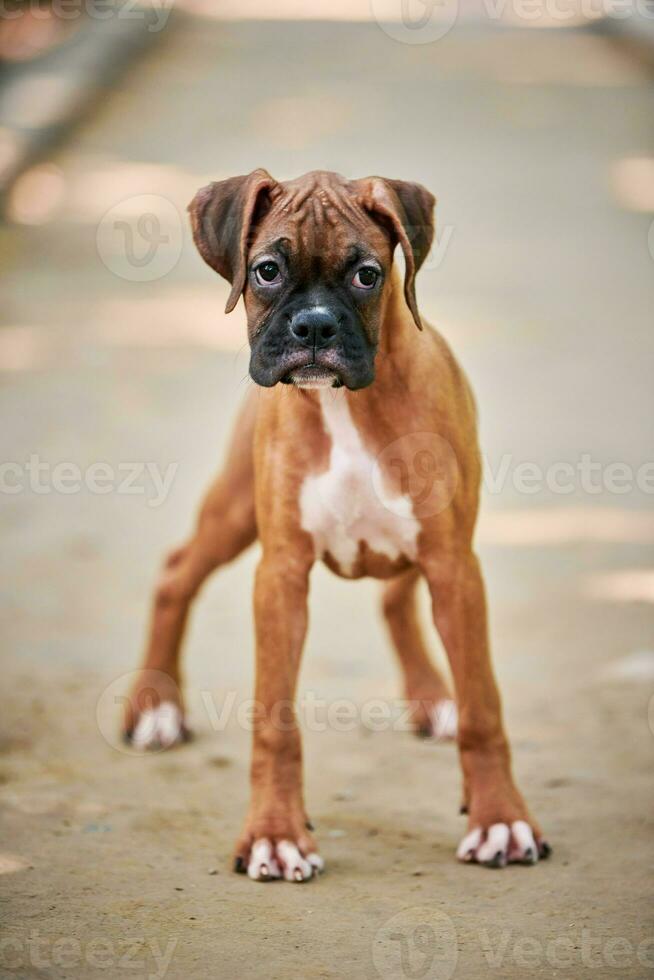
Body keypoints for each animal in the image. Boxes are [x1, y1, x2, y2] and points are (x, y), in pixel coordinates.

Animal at [121, 168, 548, 880]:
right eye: (266, 271)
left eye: (367, 275)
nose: (315, 326)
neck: (347, 407)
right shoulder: (280, 577)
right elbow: (275, 719)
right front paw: (275, 834)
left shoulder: (454, 567)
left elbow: (484, 706)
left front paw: (500, 820)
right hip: (234, 510)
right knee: (176, 573)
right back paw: (155, 709)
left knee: (397, 603)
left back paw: (435, 700)